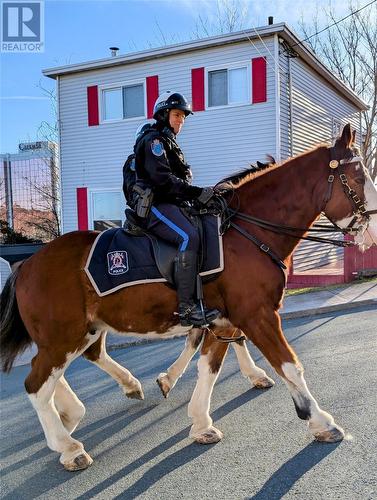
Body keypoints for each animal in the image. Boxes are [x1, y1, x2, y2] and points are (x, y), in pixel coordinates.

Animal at [0, 123, 376, 470]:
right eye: (358, 177)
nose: (372, 230)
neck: (246, 232)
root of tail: (28, 263)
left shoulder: (223, 321)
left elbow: (208, 367)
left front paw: (199, 421)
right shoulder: (257, 315)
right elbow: (289, 365)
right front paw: (321, 421)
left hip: (80, 332)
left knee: (65, 367)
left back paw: (84, 407)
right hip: (63, 335)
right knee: (36, 383)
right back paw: (68, 445)